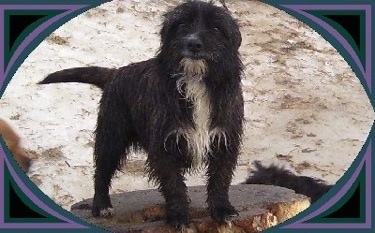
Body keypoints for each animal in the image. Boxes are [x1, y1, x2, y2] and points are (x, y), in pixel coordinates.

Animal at [40, 0, 244, 229]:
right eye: (182, 24)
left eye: (217, 28)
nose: (193, 44)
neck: (196, 82)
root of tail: (115, 73)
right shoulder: (164, 147)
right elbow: (174, 185)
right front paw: (179, 216)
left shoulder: (224, 142)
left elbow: (220, 179)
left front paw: (222, 210)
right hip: (112, 138)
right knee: (101, 171)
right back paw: (102, 205)